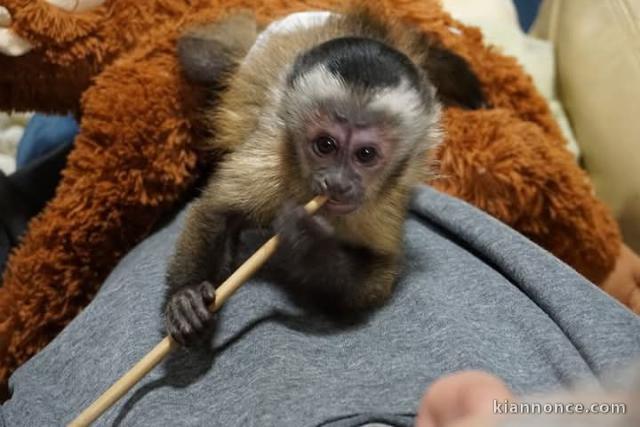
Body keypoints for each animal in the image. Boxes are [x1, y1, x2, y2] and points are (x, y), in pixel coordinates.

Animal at [165, 6, 487, 346]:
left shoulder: (382, 203)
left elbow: (377, 276)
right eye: (325, 145)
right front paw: (186, 297)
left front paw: (310, 245)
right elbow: (216, 211)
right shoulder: (273, 161)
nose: (336, 183)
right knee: (201, 58)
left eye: (366, 154)